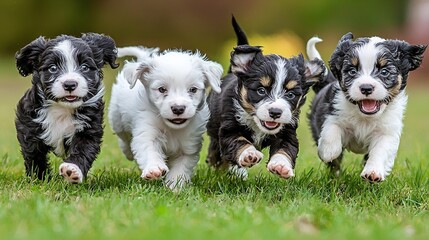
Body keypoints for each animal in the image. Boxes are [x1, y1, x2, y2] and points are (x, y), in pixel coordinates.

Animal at [107, 46, 222, 189]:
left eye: (193, 89)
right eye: (162, 89)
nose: (178, 108)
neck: (172, 128)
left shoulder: (188, 146)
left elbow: (181, 167)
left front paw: (175, 186)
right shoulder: (147, 132)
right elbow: (149, 150)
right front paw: (153, 169)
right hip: (117, 119)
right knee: (124, 138)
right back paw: (128, 151)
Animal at [205, 16, 324, 178]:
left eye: (291, 94)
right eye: (261, 90)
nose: (275, 112)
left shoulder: (287, 132)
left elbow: (285, 149)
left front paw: (281, 166)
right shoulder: (228, 129)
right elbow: (239, 141)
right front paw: (249, 155)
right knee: (217, 157)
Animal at [308, 32, 424, 182]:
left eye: (384, 72)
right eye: (352, 72)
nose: (366, 88)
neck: (365, 117)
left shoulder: (387, 131)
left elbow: (381, 150)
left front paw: (373, 172)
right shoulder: (332, 110)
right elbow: (331, 129)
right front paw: (329, 151)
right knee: (335, 165)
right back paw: (336, 176)